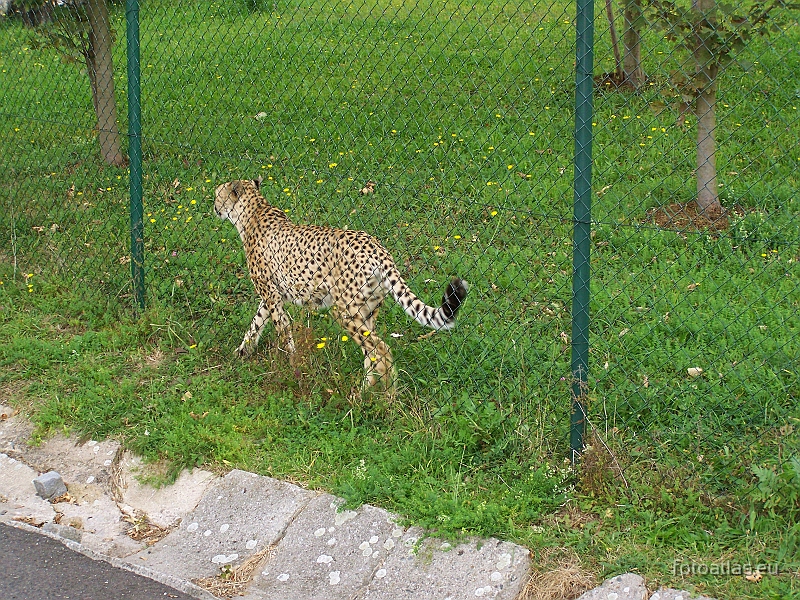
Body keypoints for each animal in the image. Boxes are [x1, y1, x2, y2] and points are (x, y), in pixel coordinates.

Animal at [216, 178, 472, 390]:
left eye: (217, 193)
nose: (214, 206)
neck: (255, 210)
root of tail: (376, 246)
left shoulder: (271, 295)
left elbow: (282, 331)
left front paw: (291, 364)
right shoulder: (272, 295)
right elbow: (257, 322)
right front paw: (243, 350)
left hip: (344, 309)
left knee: (381, 350)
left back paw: (385, 395)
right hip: (367, 309)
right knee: (371, 352)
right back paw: (365, 390)